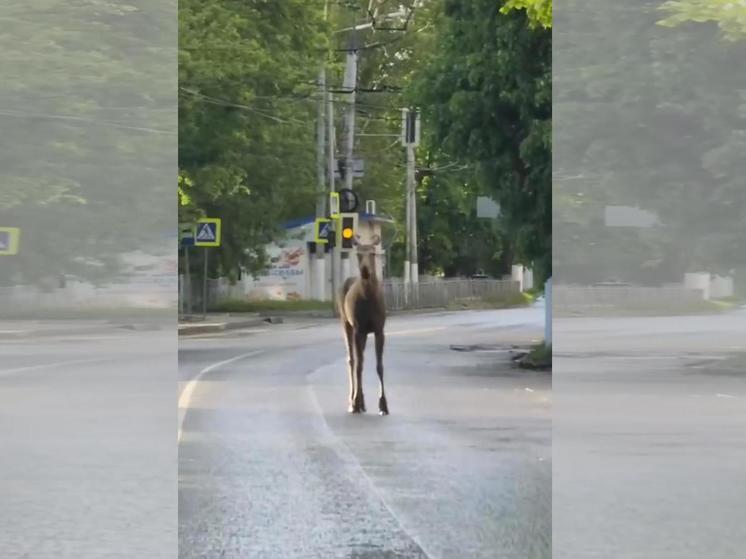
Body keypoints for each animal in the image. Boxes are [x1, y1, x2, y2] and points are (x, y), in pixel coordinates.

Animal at [334, 234, 386, 414]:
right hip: (346, 322)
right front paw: (356, 402)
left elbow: (379, 366)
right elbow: (358, 365)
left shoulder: (379, 329)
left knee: (358, 359)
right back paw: (354, 401)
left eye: (372, 253)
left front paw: (383, 405)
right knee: (352, 360)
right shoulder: (358, 329)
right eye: (358, 254)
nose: (364, 270)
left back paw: (362, 401)